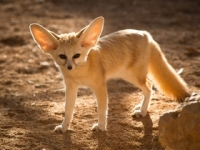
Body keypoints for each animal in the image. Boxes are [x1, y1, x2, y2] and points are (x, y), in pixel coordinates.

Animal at [28, 16, 190, 133]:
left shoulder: (100, 86)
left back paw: (142, 111)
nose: (69, 67)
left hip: (133, 77)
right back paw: (141, 108)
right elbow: (68, 110)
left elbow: (102, 109)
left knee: (149, 87)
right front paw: (64, 127)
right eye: (62, 56)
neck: (80, 72)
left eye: (76, 56)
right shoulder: (71, 88)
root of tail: (145, 34)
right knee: (149, 86)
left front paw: (101, 127)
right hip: (130, 76)